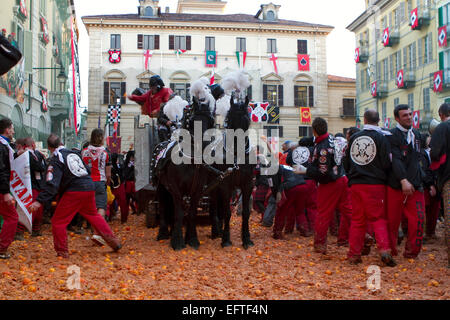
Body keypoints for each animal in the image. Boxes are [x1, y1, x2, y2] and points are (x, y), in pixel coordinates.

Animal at [208, 96, 255, 249]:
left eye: (247, 120)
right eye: (230, 118)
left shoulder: (248, 184)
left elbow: (246, 212)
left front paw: (246, 238)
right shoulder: (225, 185)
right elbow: (227, 212)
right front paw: (226, 239)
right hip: (214, 185)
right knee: (214, 205)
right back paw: (216, 231)